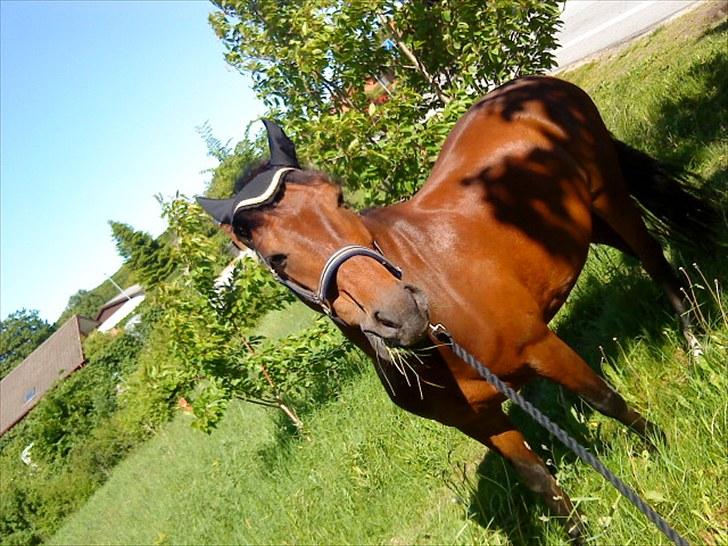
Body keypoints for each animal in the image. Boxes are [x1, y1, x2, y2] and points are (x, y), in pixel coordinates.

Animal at [197, 76, 715, 543]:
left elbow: (607, 401)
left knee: (656, 263)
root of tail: (534, 84)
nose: (399, 311)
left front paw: (660, 447)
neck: (440, 338)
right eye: (275, 259)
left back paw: (696, 344)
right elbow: (539, 481)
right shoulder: (479, 422)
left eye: (340, 197)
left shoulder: (543, 348)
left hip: (609, 198)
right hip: (585, 222)